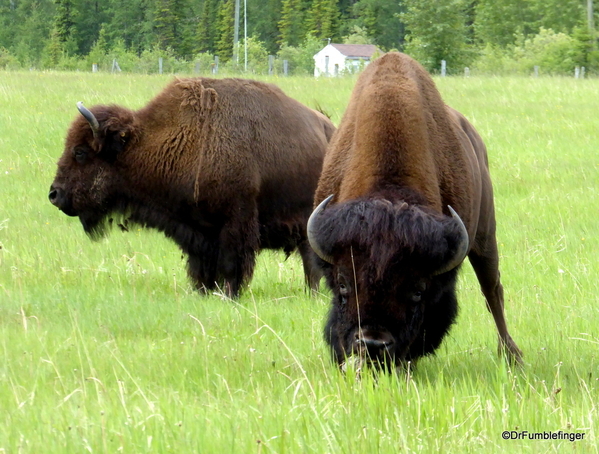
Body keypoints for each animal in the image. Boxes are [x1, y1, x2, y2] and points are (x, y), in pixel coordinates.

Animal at [49, 77, 336, 298]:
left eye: (80, 152)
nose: (54, 194)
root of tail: (328, 129)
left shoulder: (235, 223)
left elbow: (232, 264)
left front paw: (229, 295)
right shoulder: (198, 231)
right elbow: (202, 266)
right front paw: (204, 291)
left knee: (311, 262)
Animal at [308, 53, 524, 370]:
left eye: (418, 290)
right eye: (343, 284)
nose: (373, 345)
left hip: (485, 236)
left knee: (492, 290)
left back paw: (511, 355)